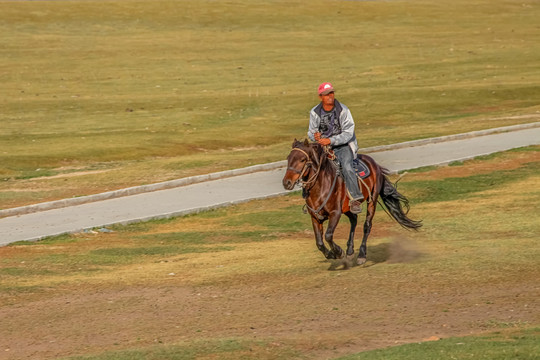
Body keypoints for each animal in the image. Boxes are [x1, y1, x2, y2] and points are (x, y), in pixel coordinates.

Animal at [282, 139, 422, 266]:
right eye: (288, 158)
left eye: (302, 160)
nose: (286, 182)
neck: (322, 185)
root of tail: (374, 164)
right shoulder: (315, 217)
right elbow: (319, 242)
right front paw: (331, 254)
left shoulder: (335, 213)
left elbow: (328, 235)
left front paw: (338, 252)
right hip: (348, 208)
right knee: (354, 219)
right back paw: (350, 251)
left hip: (372, 200)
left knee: (367, 226)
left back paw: (361, 255)